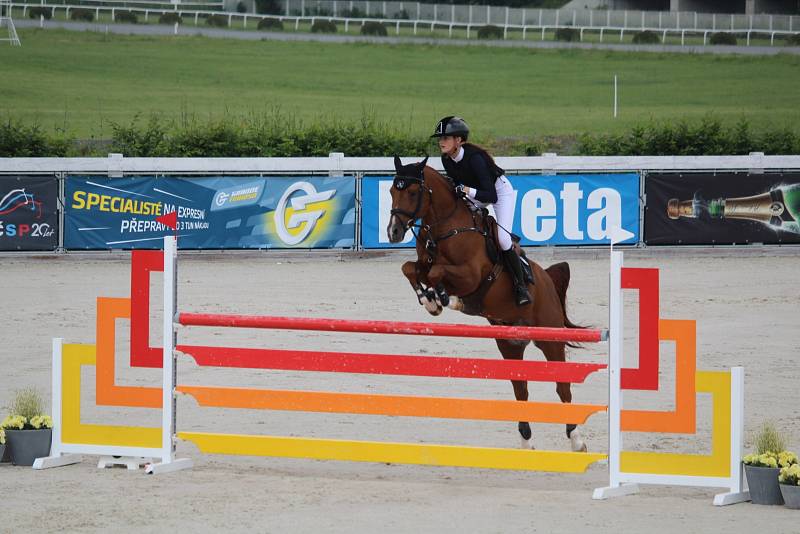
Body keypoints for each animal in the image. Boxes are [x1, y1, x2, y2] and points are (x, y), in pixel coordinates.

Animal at [388, 157, 588, 454]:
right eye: (392, 190)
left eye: (412, 192)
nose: (393, 232)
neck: (445, 227)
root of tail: (548, 280)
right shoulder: (423, 264)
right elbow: (410, 268)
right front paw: (430, 300)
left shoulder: (470, 275)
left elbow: (437, 273)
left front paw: (447, 299)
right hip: (510, 343)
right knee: (521, 389)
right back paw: (525, 442)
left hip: (549, 338)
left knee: (562, 386)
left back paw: (577, 440)